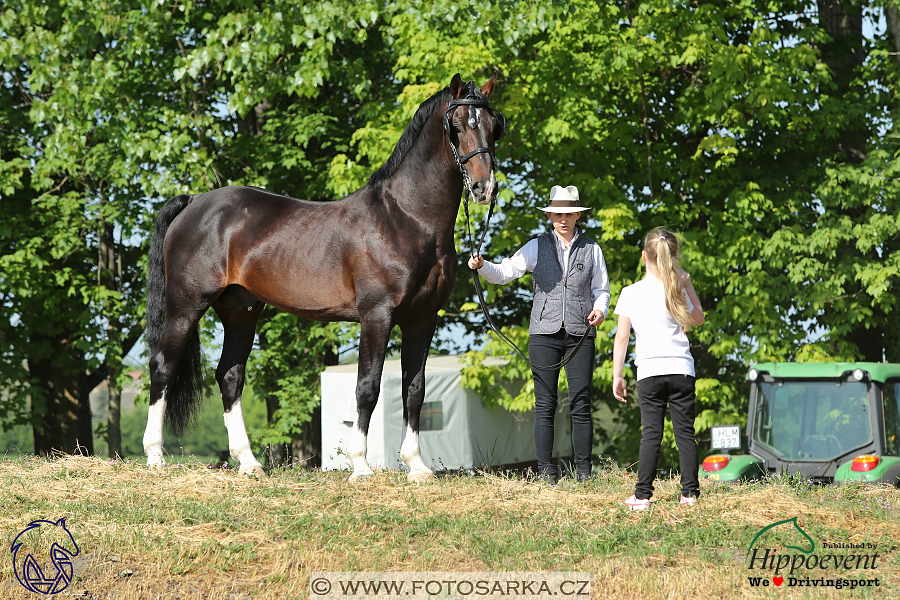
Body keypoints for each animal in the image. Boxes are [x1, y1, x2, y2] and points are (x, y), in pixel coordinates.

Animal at [144, 72, 502, 480]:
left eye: (493, 126)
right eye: (457, 126)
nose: (485, 188)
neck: (405, 218)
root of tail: (194, 202)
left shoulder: (422, 320)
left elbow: (415, 389)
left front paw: (416, 466)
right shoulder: (377, 316)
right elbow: (367, 387)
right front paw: (360, 466)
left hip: (240, 312)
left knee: (229, 376)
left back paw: (249, 463)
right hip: (186, 305)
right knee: (163, 367)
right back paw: (155, 456)